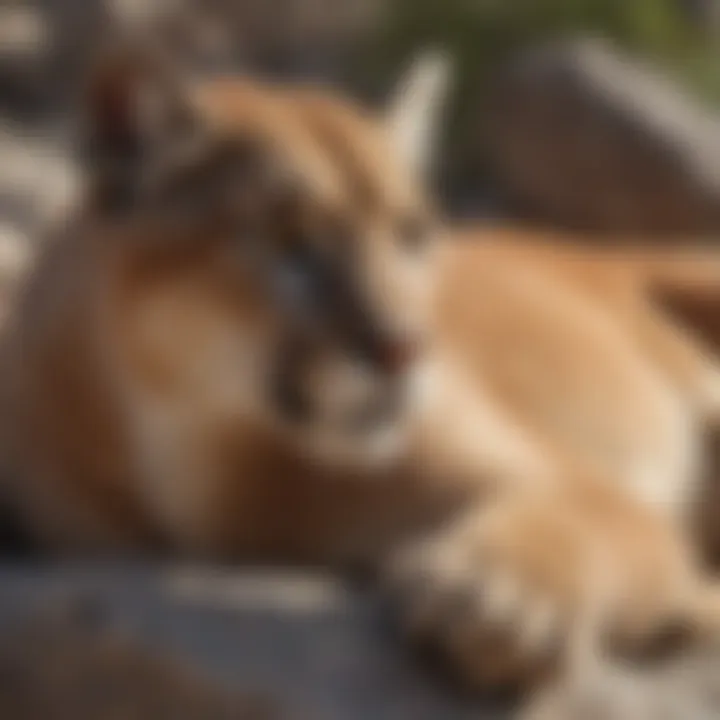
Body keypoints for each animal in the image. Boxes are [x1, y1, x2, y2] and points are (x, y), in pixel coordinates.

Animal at [4, 45, 720, 716]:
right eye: (290, 239)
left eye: (413, 234)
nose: (406, 348)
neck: (200, 463)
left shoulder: (589, 490)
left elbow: (576, 517)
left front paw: (498, 600)